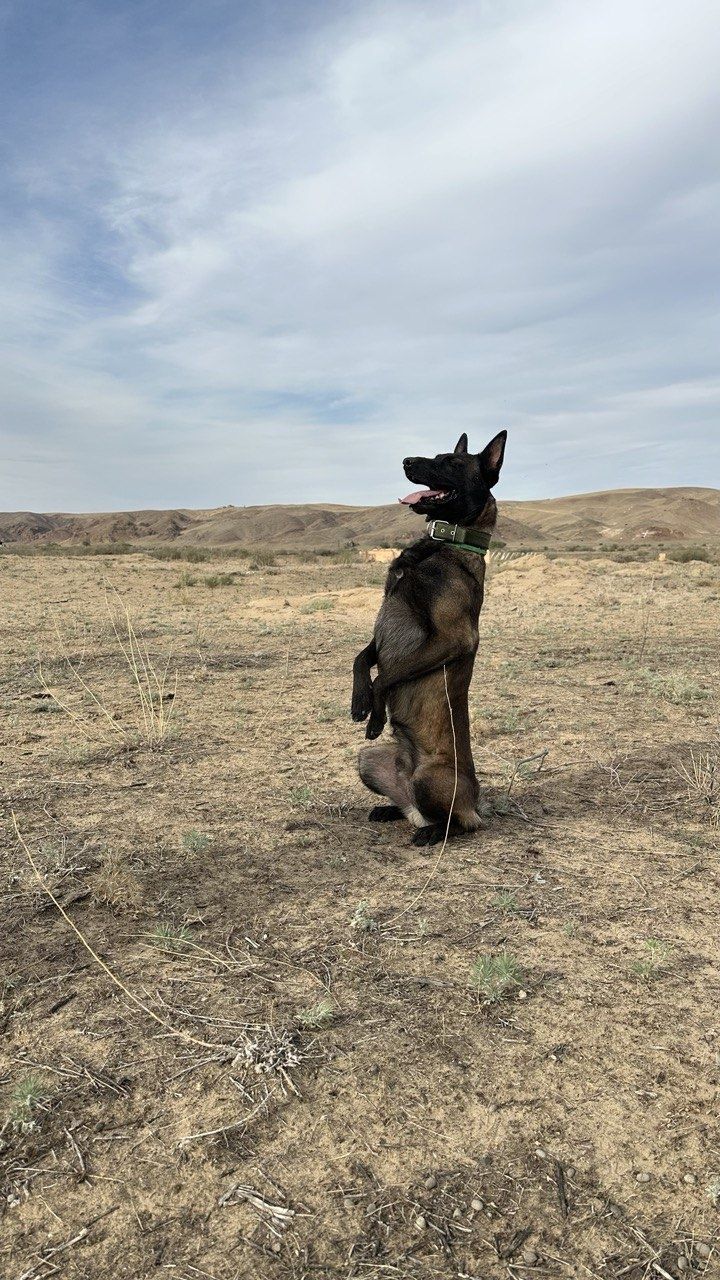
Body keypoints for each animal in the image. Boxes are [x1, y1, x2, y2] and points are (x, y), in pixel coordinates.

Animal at [348, 430, 504, 844]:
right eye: (436, 455)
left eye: (451, 463)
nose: (406, 461)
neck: (445, 544)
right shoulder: (382, 625)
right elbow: (361, 660)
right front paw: (359, 701)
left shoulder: (453, 639)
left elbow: (385, 676)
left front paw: (375, 714)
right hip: (369, 760)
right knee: (409, 808)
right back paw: (391, 810)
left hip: (429, 781)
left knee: (457, 824)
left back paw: (433, 833)